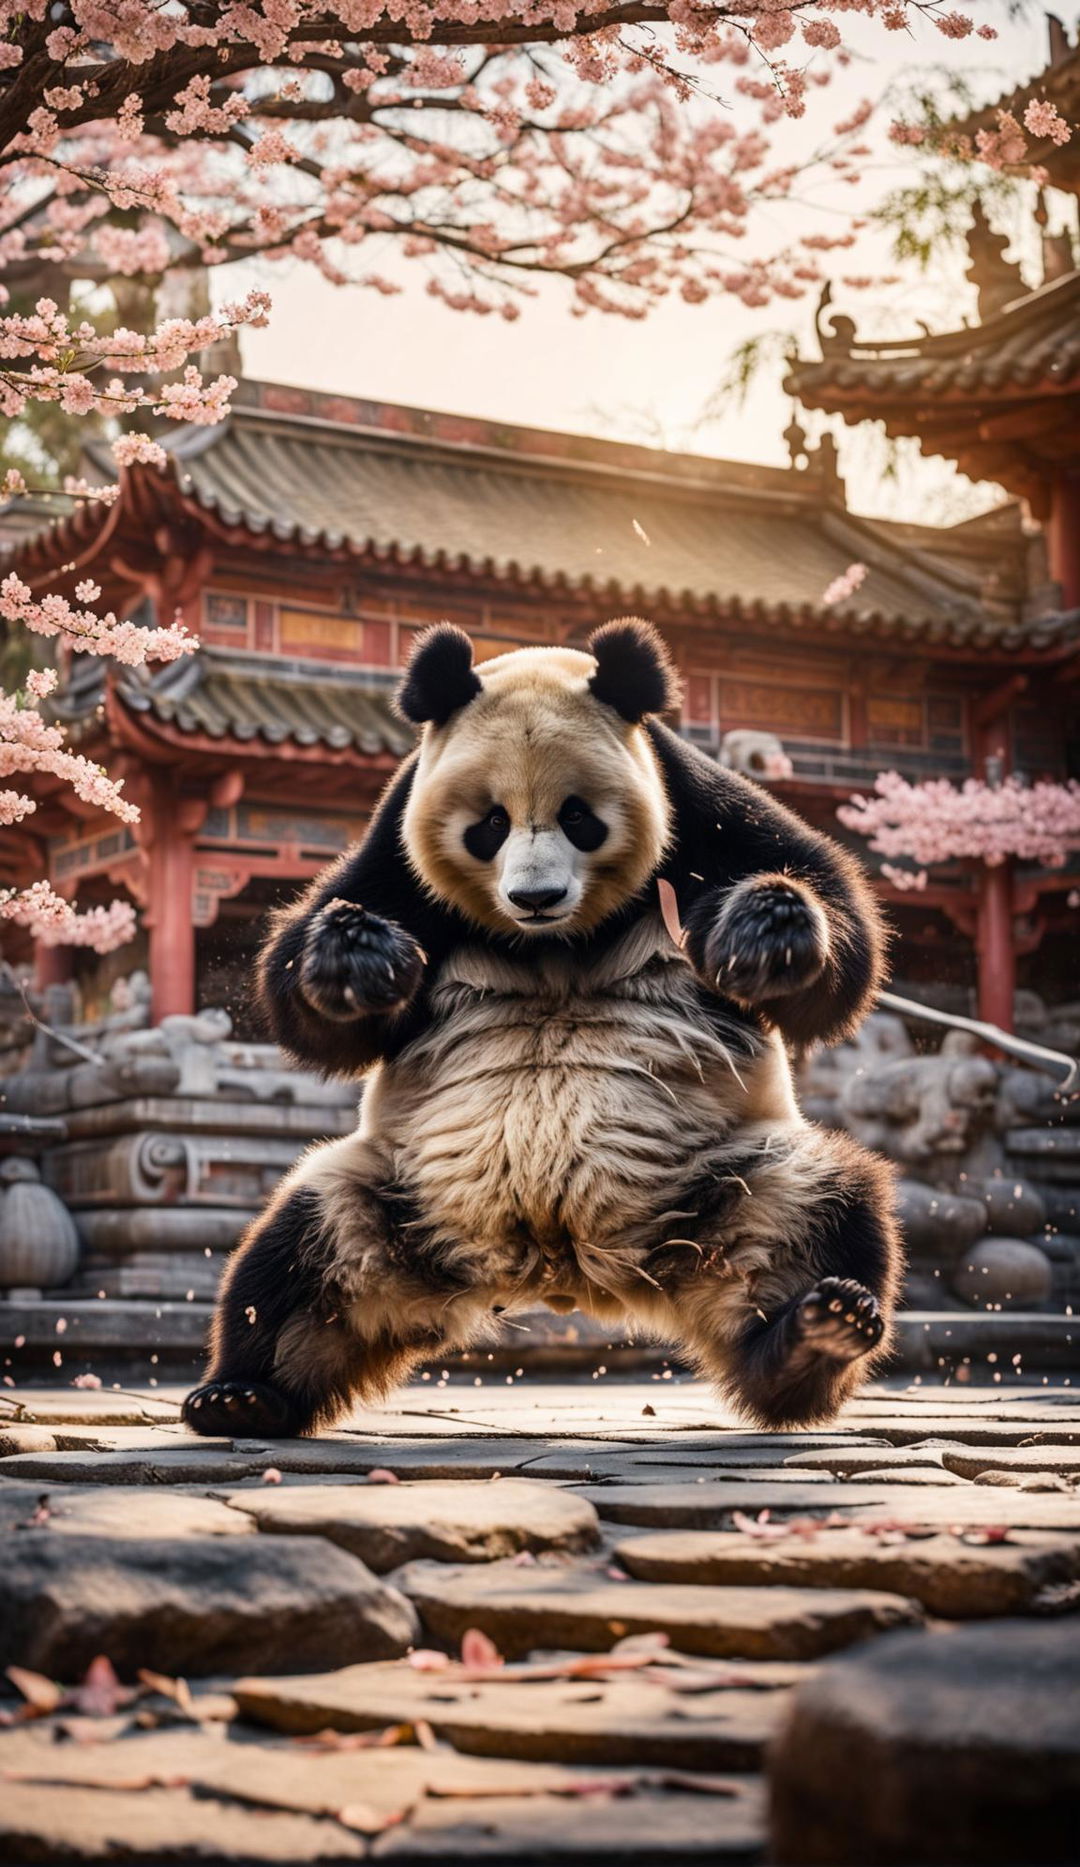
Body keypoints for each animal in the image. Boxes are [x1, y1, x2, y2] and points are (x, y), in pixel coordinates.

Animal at [181, 619, 896, 1433]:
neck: (557, 939)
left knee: (829, 1210)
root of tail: (561, 1268)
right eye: (489, 825)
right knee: (294, 1256)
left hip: (731, 1177)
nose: (536, 896)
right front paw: (358, 955)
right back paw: (240, 1396)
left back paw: (813, 1336)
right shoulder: (395, 846)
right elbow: (316, 988)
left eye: (578, 817)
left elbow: (825, 917)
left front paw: (763, 932)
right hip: (394, 1190)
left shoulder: (700, 811)